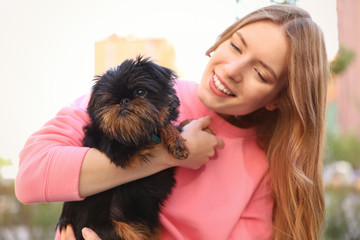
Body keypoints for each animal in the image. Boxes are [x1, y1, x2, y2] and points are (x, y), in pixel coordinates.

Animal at [57, 56, 188, 240]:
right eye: (110, 99)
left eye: (140, 92)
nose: (123, 100)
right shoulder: (122, 151)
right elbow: (155, 128)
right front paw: (173, 134)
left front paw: (176, 137)